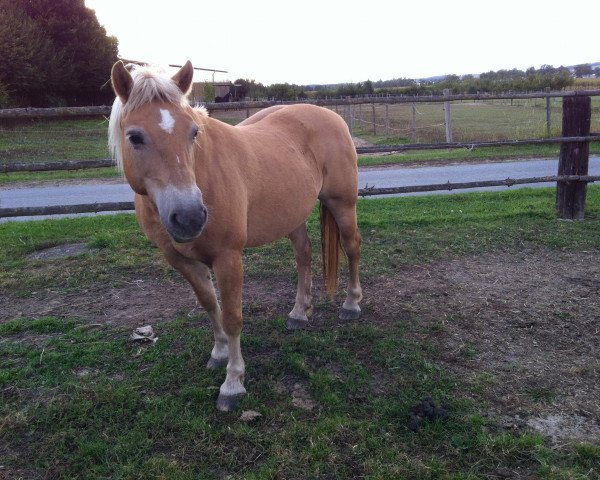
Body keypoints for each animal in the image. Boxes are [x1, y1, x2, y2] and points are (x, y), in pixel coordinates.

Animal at [107, 60, 360, 410]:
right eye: (134, 136)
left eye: (193, 132)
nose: (190, 217)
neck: (203, 172)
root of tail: (331, 116)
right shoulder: (181, 261)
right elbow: (209, 304)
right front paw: (219, 353)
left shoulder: (228, 258)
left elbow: (231, 316)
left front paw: (233, 383)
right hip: (293, 215)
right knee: (304, 254)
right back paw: (299, 313)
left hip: (342, 205)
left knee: (352, 248)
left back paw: (351, 305)